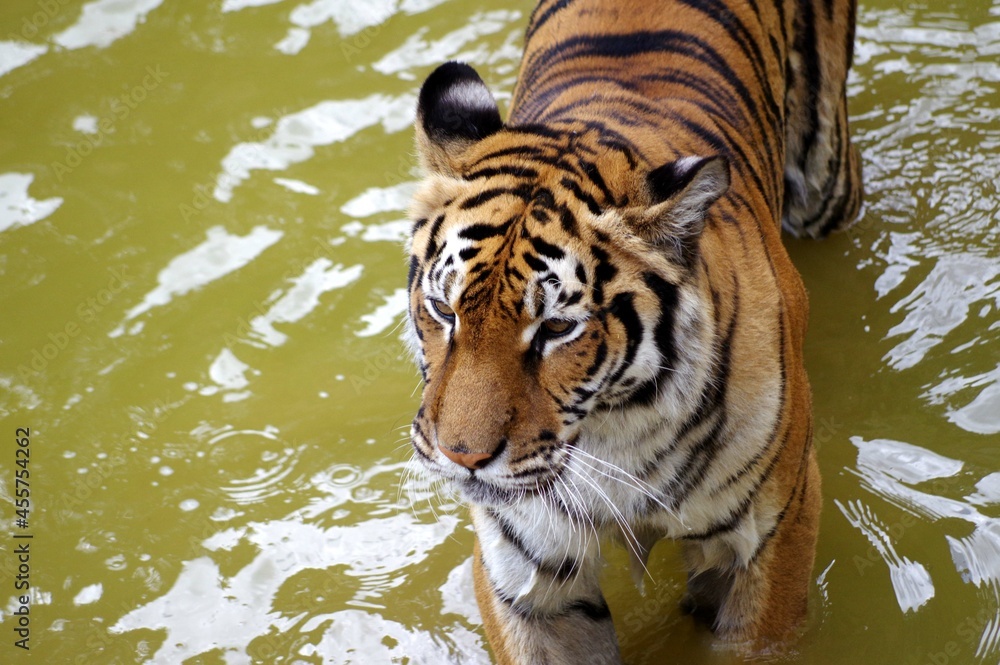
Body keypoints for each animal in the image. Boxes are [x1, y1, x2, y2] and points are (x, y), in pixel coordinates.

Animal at [404, 0, 860, 656]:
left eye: (556, 329)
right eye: (445, 311)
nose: (461, 458)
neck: (616, 429)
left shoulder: (773, 535)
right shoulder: (529, 573)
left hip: (826, 180)